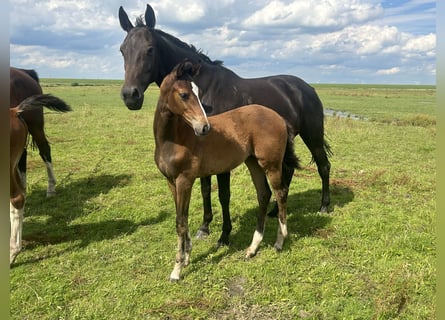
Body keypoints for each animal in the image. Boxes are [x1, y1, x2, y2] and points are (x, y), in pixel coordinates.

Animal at [119, 3, 332, 245]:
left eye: (150, 49)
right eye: (122, 50)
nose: (130, 95)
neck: (204, 89)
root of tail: (306, 87)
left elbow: (223, 194)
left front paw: (225, 235)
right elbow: (205, 189)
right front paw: (204, 227)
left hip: (312, 135)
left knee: (323, 166)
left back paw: (324, 207)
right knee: (287, 171)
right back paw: (274, 211)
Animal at [153, 60, 298, 280]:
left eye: (199, 92)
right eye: (184, 94)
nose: (204, 127)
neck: (173, 139)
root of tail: (279, 118)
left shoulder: (185, 179)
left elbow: (181, 221)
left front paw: (177, 269)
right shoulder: (171, 181)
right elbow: (182, 217)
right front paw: (187, 257)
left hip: (271, 164)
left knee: (280, 193)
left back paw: (279, 242)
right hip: (253, 162)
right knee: (264, 194)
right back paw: (252, 248)